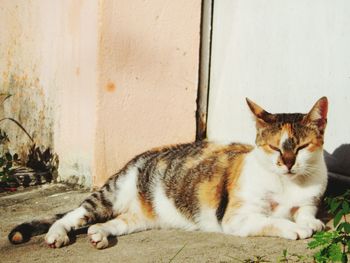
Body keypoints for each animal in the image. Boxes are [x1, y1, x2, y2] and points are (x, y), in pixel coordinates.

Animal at [7, 97, 328, 250]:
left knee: (115, 222)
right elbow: (270, 220)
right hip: (109, 195)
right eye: (274, 147)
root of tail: (139, 157)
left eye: (301, 147)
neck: (289, 184)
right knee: (73, 215)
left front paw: (311, 223)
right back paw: (57, 235)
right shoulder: (236, 217)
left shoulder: (309, 200)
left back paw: (99, 234)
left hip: (142, 217)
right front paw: (295, 228)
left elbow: (304, 213)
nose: (287, 163)